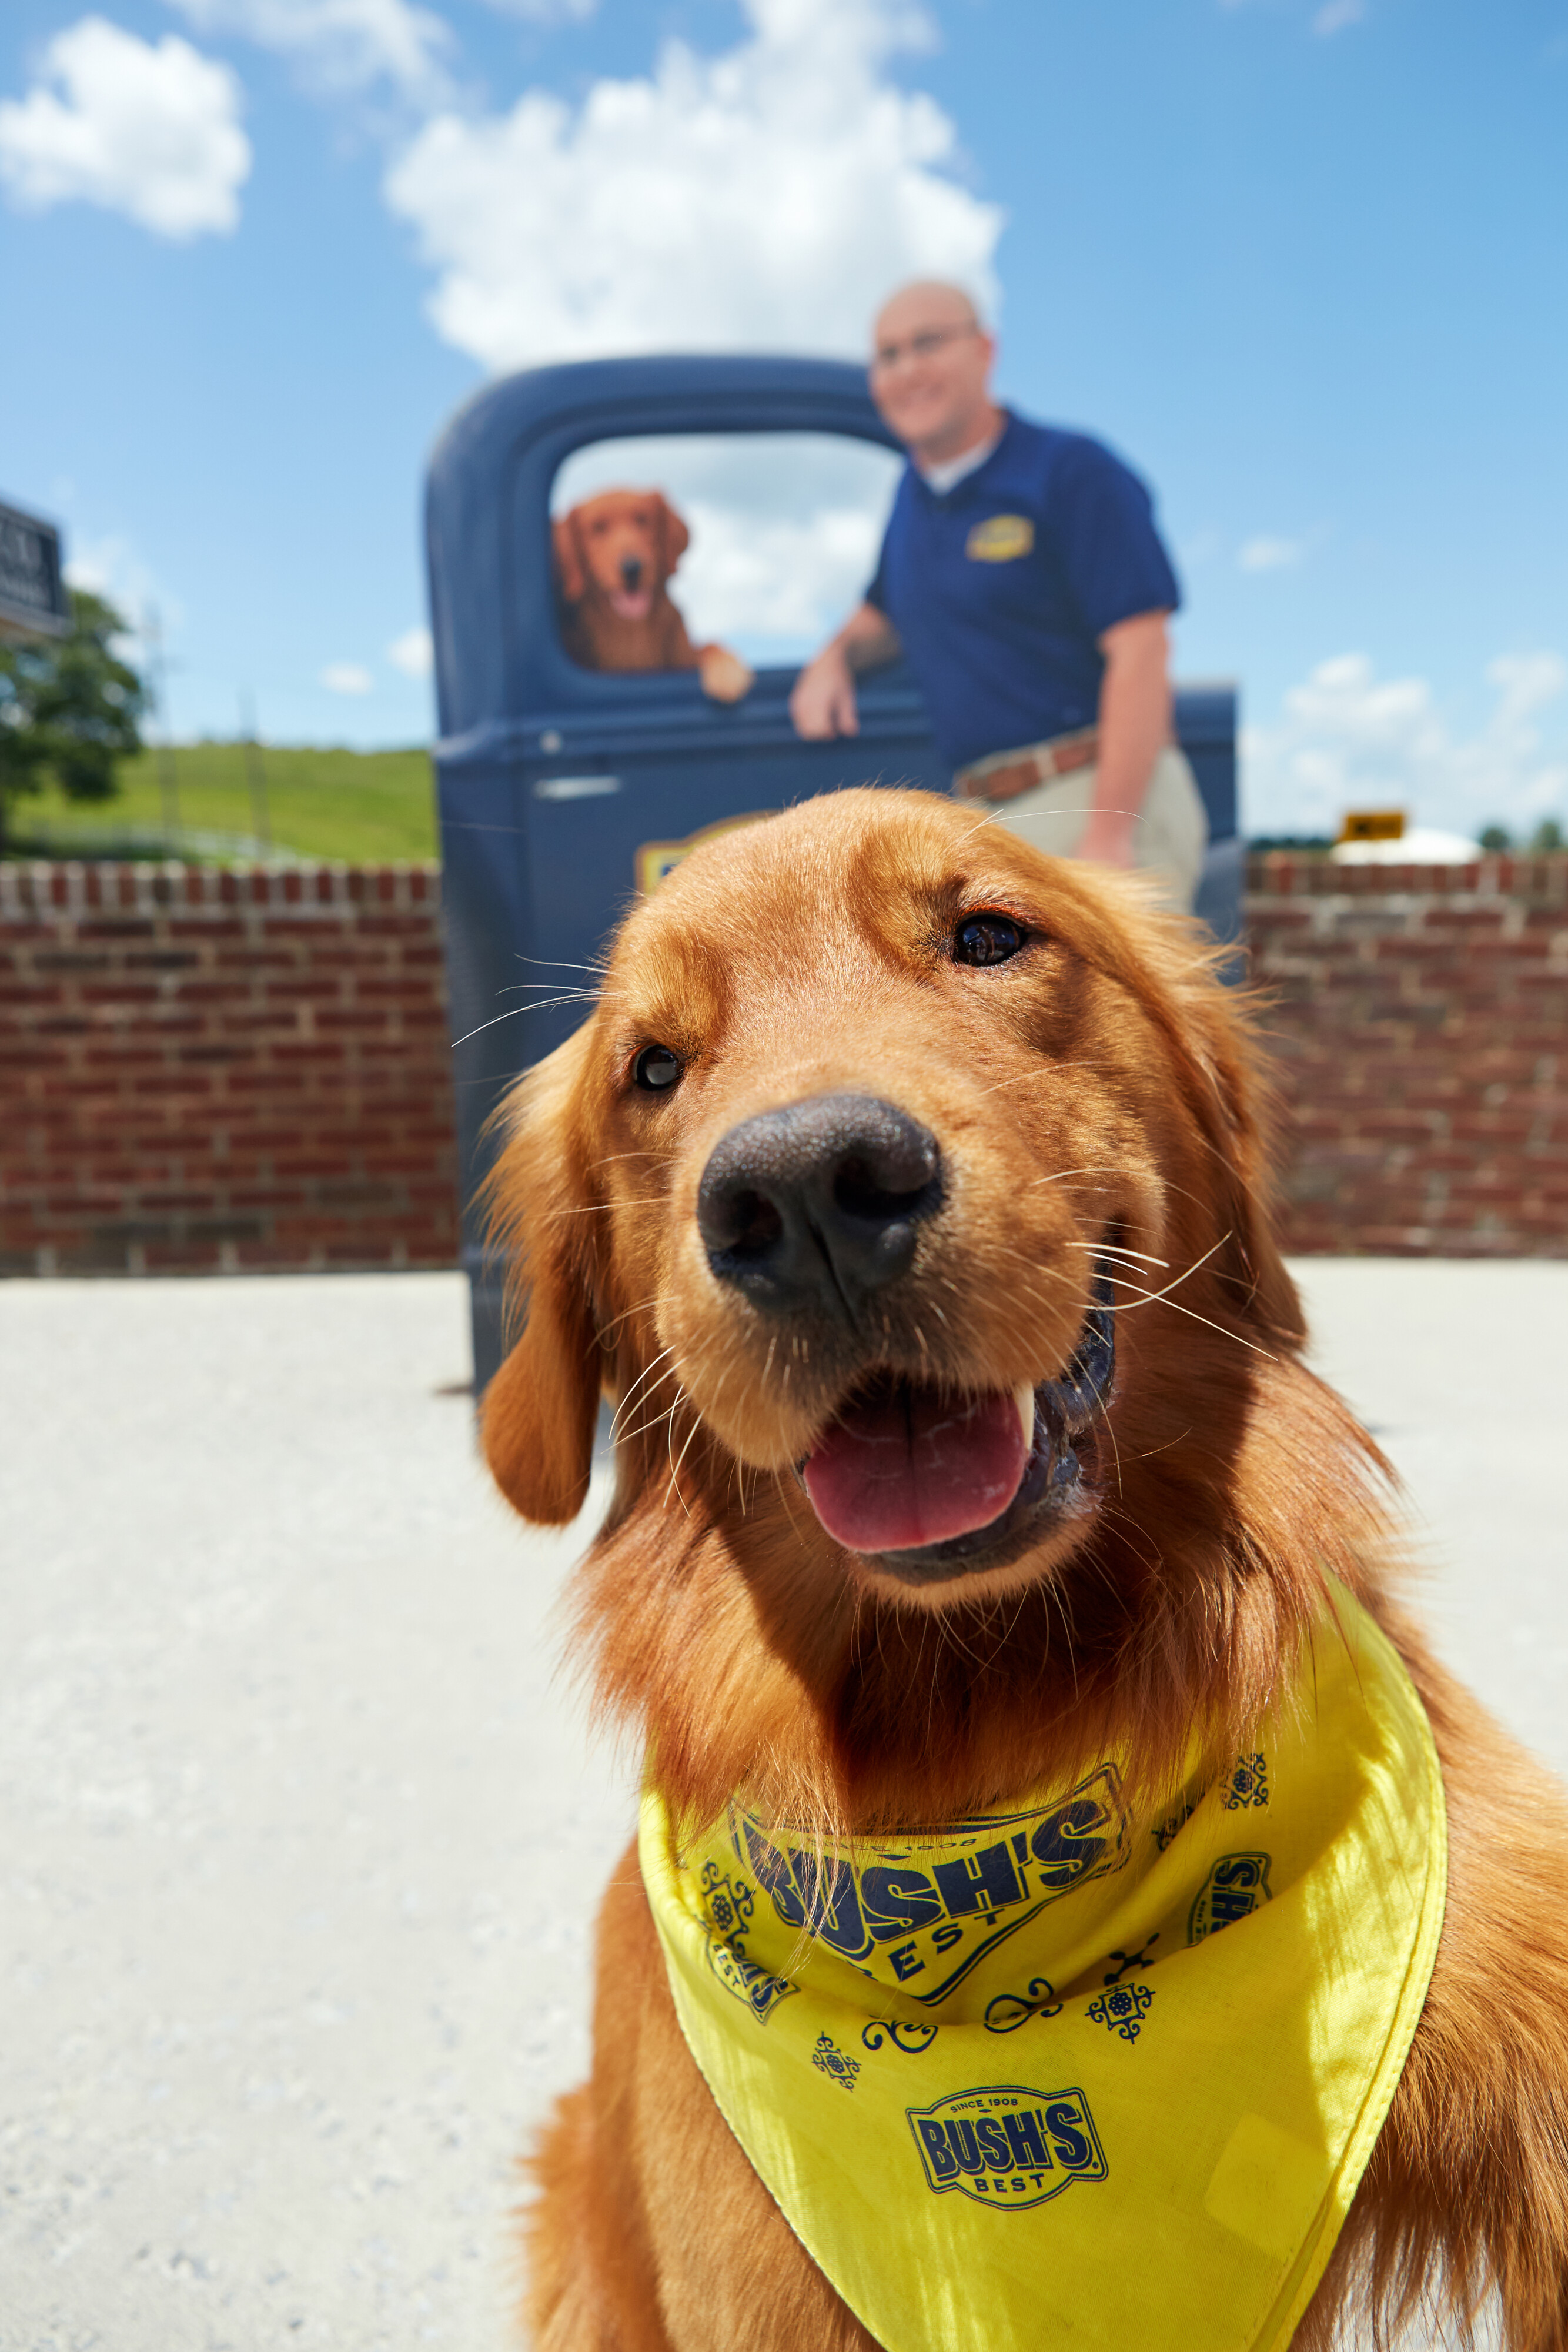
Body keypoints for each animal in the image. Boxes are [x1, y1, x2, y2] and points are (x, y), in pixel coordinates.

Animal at [552, 480, 752, 691]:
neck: (633, 632)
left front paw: (727, 672)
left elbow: (710, 647)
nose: (632, 568)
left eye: (643, 520)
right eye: (597, 528)